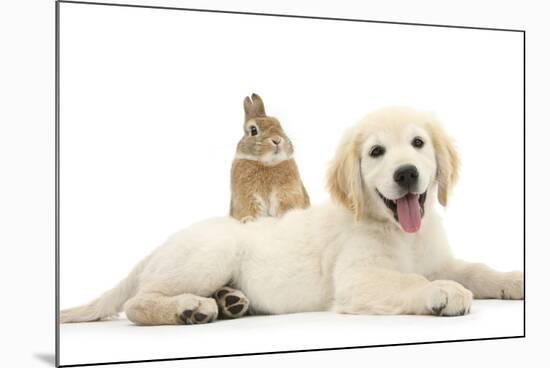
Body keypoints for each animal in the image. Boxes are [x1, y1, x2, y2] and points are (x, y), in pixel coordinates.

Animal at [229, 93, 310, 223]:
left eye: (280, 126)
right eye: (253, 130)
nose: (277, 140)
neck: (266, 163)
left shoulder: (287, 192)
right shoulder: (246, 196)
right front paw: (248, 220)